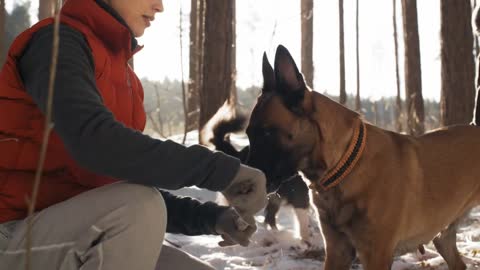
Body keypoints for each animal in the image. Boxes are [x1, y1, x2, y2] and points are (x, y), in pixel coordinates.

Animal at [246, 45, 480, 268]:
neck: (343, 166)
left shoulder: (376, 255)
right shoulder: (337, 251)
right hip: (443, 237)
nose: (247, 180)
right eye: (248, 134)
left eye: (267, 134)